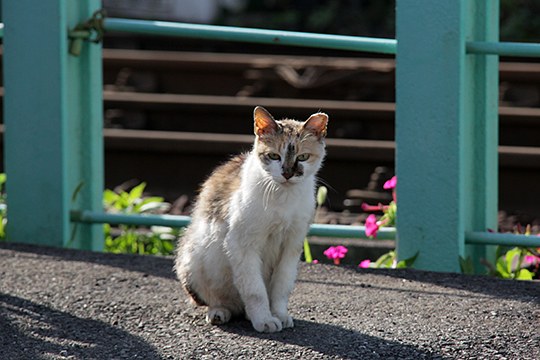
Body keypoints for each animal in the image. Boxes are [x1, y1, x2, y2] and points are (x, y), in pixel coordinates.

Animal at [177, 105, 330, 334]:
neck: (282, 197)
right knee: (216, 299)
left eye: (303, 157)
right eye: (274, 156)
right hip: (192, 258)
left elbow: (281, 286)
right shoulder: (242, 244)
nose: (287, 173)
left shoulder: (292, 246)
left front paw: (279, 314)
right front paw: (264, 320)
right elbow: (254, 290)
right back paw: (220, 312)